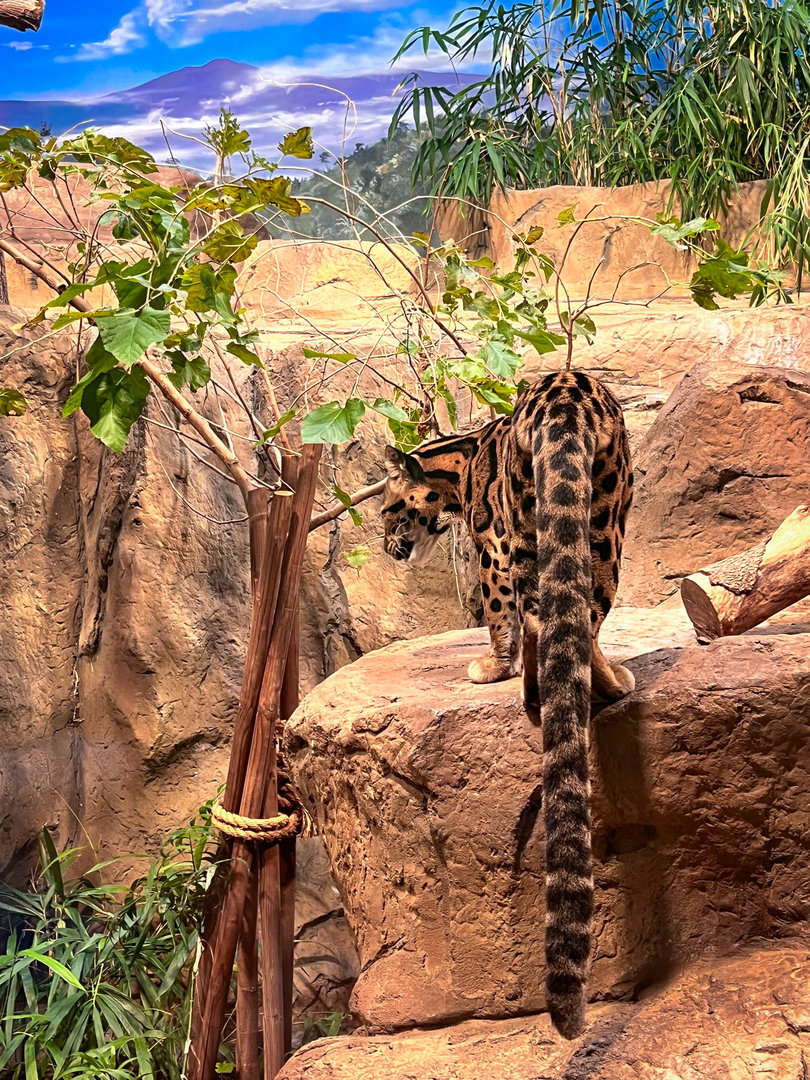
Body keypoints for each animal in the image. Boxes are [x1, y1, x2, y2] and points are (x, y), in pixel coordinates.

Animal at [380, 369, 635, 1040]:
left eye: (388, 508)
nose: (387, 546)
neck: (458, 465)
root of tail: (565, 397)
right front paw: (503, 670)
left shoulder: (488, 538)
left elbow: (498, 611)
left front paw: (492, 668)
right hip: (591, 513)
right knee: (571, 611)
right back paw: (588, 684)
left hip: (568, 517)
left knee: (557, 611)